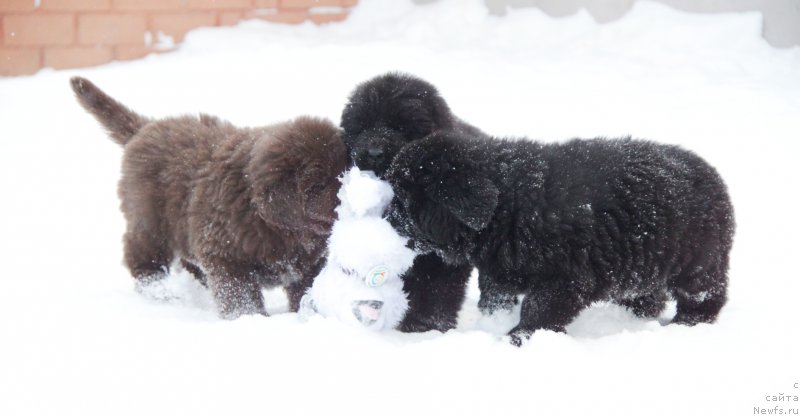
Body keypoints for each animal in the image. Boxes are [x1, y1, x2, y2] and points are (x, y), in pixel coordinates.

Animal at [74, 77, 346, 318]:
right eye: (319, 185)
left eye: (343, 173)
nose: (346, 198)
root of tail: (146, 127)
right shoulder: (226, 256)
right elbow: (241, 297)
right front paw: (249, 319)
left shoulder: (308, 265)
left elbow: (305, 290)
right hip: (150, 220)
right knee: (142, 256)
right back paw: (160, 290)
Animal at [340, 72, 484, 332]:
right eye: (363, 127)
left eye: (401, 128)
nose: (374, 153)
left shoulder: (441, 256)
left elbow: (436, 289)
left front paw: (422, 326)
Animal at [390, 131, 736, 344]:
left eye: (403, 202)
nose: (386, 218)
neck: (508, 205)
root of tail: (712, 174)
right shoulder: (500, 270)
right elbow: (494, 299)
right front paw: (493, 325)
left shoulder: (564, 279)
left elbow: (538, 311)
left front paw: (518, 337)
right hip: (644, 261)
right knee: (647, 296)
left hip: (700, 262)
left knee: (705, 296)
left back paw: (689, 323)